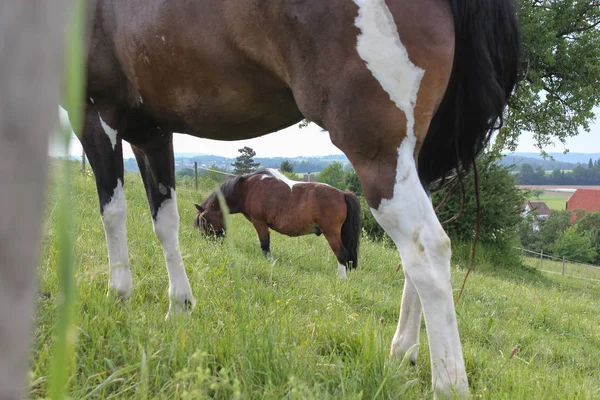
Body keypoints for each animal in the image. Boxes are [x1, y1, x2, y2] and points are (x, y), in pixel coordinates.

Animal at [193, 167, 360, 276]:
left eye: (204, 222)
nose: (210, 244)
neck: (247, 189)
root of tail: (342, 194)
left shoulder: (259, 222)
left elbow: (265, 245)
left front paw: (270, 263)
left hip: (331, 233)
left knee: (341, 254)